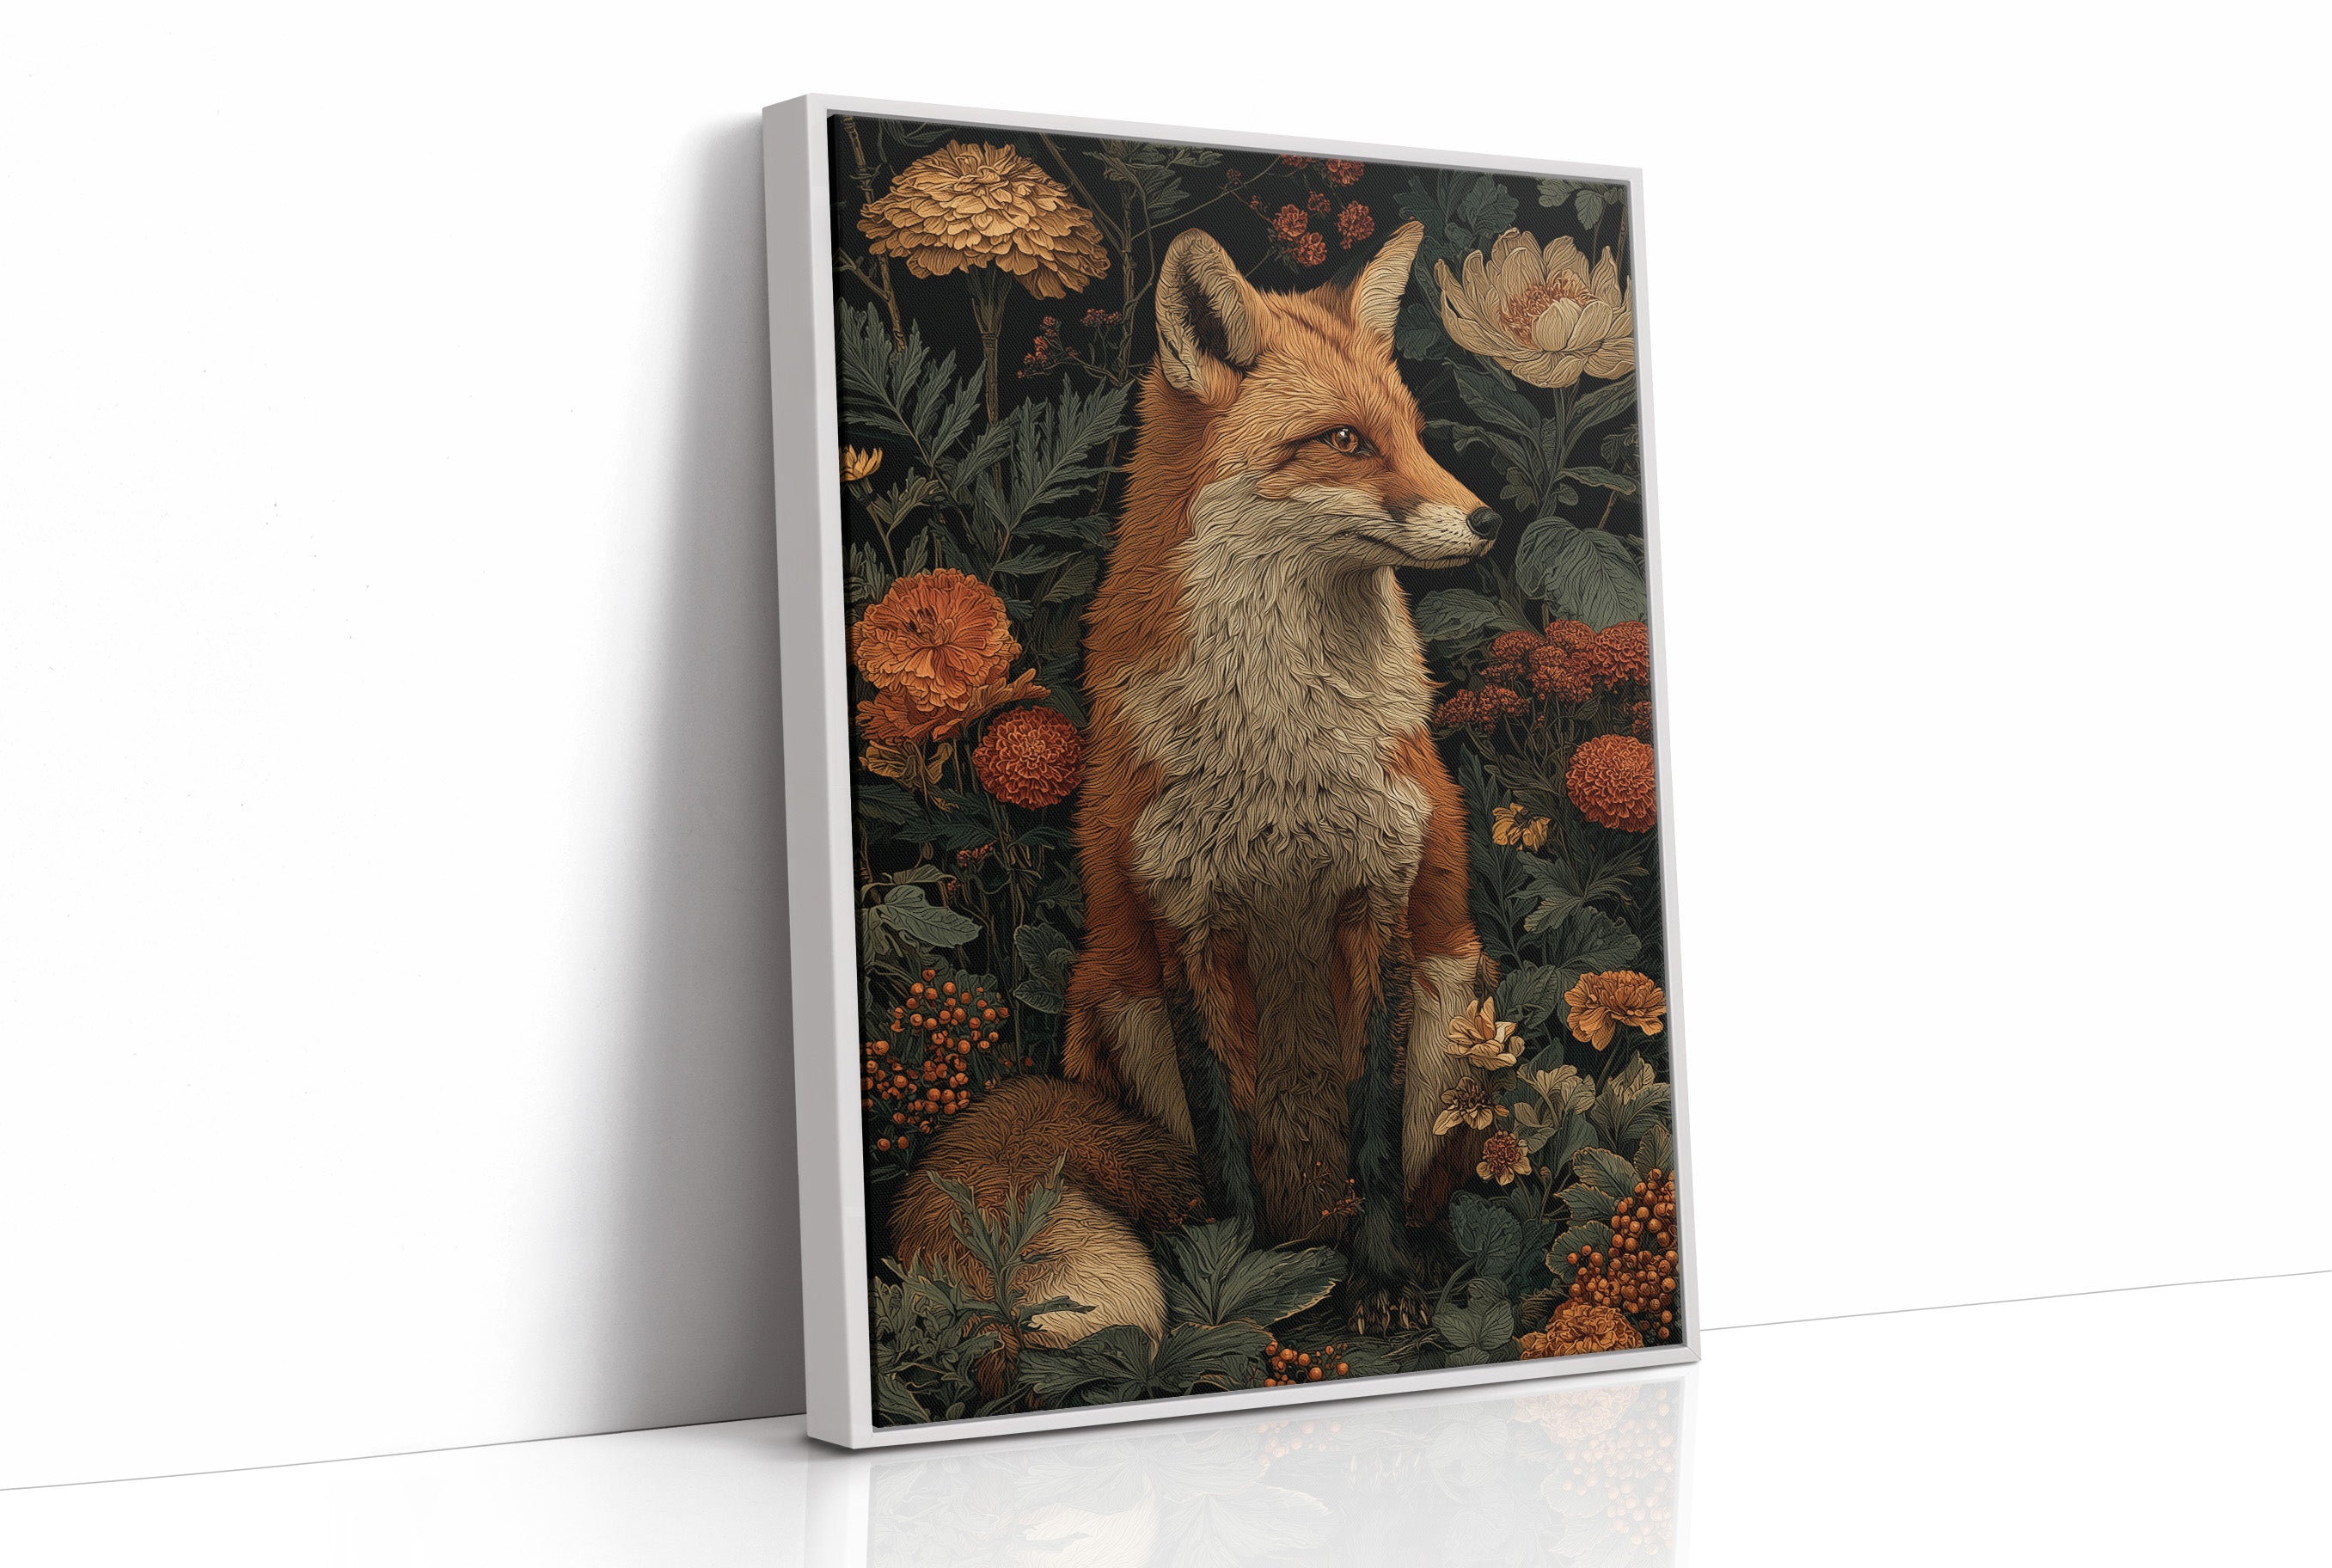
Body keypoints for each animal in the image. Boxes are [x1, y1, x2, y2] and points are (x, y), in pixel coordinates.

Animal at [894, 218, 1499, 1348]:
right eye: (1345, 441)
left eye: (1411, 431)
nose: (1487, 523)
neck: (1280, 746)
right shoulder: (1185, 923)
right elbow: (1225, 1142)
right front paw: (1236, 1292)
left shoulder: (1380, 905)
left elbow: (1374, 1127)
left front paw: (1382, 1278)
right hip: (1114, 1000)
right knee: (1186, 1185)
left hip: (1455, 996)